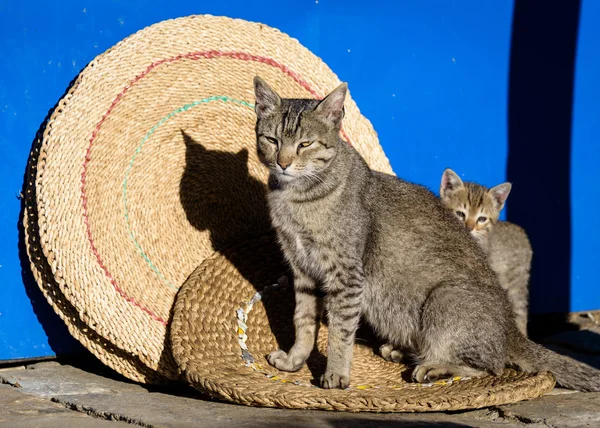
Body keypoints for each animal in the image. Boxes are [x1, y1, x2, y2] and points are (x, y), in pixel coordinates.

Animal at [438, 169, 532, 336]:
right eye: (460, 214)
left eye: (481, 219)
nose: (469, 228)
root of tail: (520, 231)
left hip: (516, 284)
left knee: (520, 313)